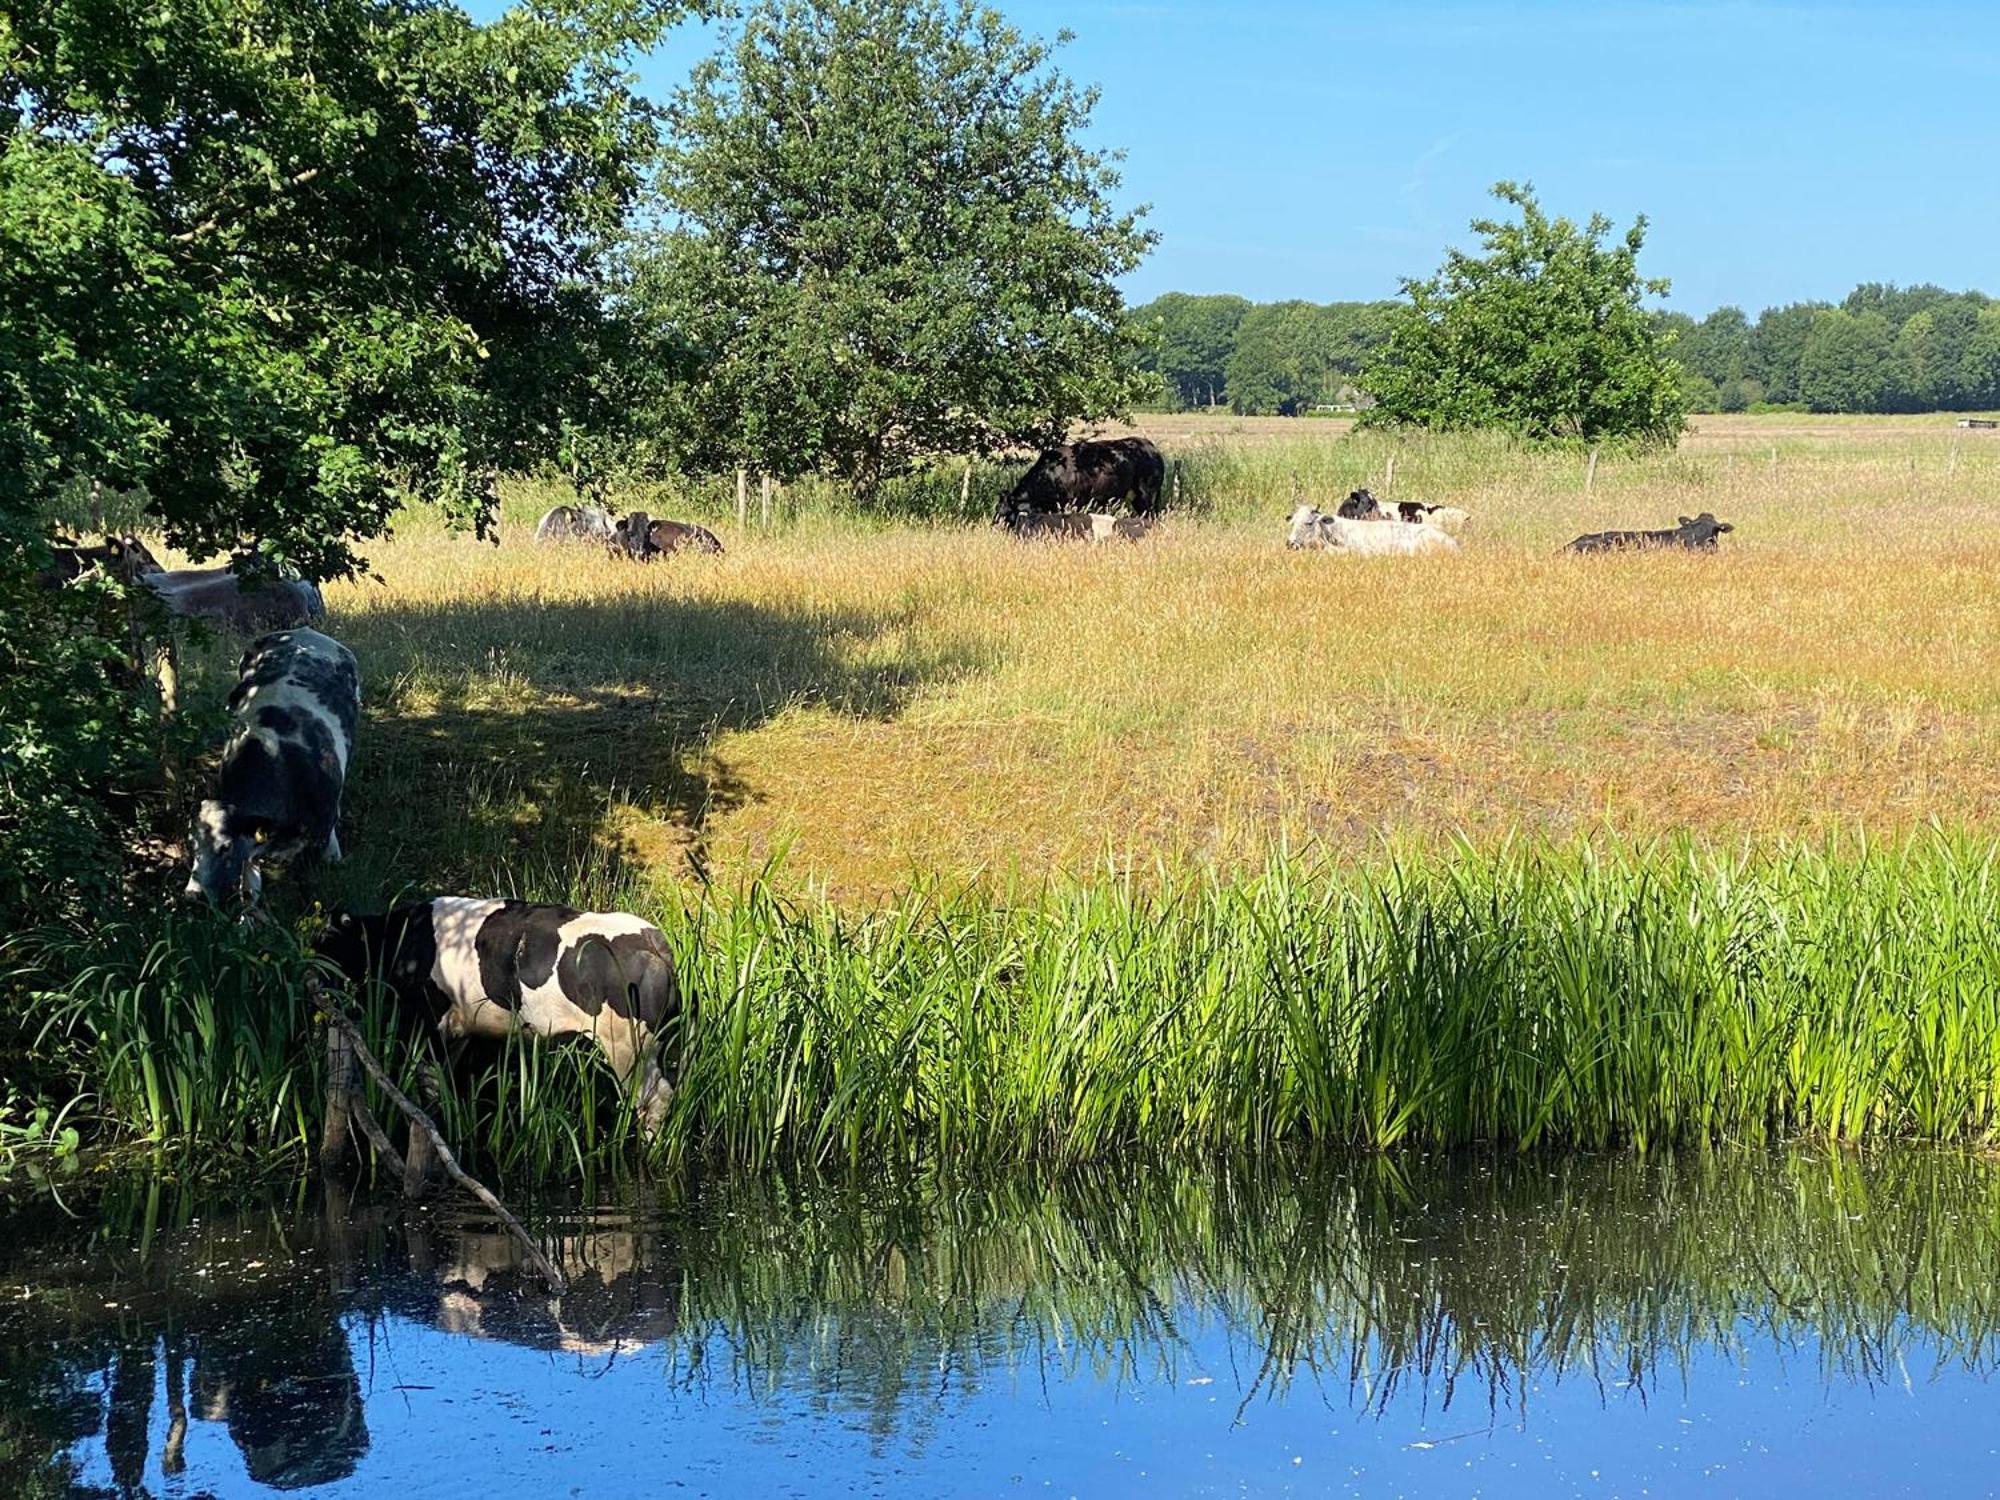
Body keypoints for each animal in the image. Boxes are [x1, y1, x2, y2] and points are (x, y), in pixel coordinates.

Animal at [188, 632, 360, 912]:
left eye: (225, 847)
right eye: (192, 844)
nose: (194, 895)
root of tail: (304, 631)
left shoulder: (320, 829)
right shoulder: (251, 849)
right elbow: (249, 891)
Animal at [316, 900, 684, 1136]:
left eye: (327, 942)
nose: (313, 974)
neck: (402, 936)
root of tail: (653, 941)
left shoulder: (427, 1021)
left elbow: (429, 1085)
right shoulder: (458, 1029)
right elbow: (446, 1082)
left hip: (627, 1046)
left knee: (654, 1100)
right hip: (655, 1044)